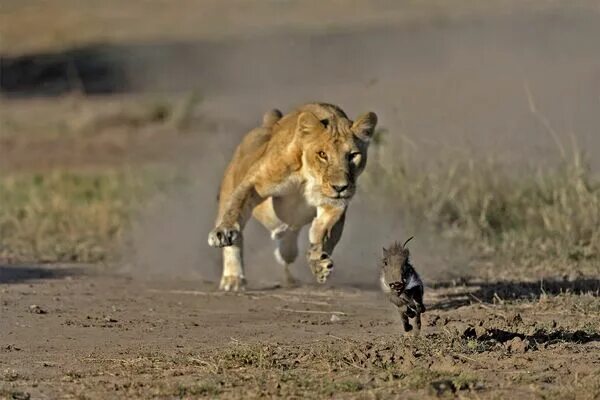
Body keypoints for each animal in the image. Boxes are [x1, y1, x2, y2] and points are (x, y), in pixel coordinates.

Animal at [206, 102, 376, 290]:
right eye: (322, 154)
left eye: (353, 155)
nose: (340, 187)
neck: (310, 176)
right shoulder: (255, 183)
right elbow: (236, 207)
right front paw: (223, 232)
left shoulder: (332, 203)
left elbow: (324, 231)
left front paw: (319, 262)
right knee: (235, 236)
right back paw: (233, 279)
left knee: (289, 242)